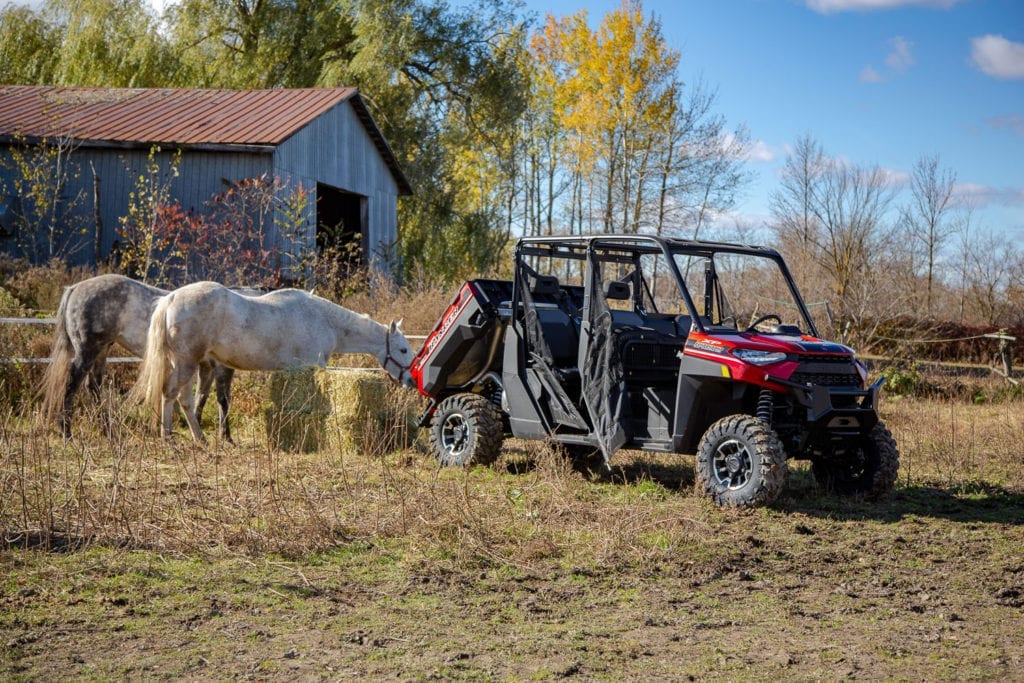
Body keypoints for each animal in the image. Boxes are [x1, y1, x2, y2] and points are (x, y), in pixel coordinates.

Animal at [136, 282, 415, 444]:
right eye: (403, 349)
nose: (412, 380)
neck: (323, 320)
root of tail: (171, 298)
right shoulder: (313, 367)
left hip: (188, 363)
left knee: (185, 399)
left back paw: (200, 438)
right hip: (187, 362)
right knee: (170, 394)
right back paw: (168, 438)